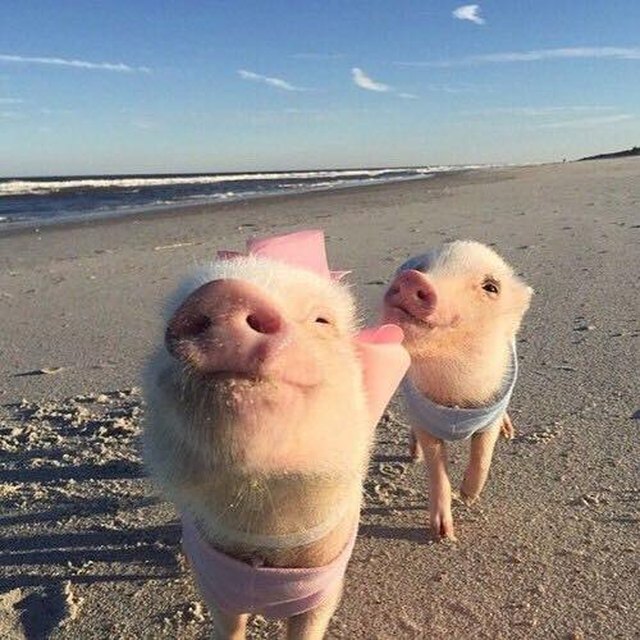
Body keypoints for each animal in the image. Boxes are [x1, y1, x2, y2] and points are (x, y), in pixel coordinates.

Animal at [382, 240, 532, 540]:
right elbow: (436, 467)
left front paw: (467, 496)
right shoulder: (423, 415)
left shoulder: (490, 410)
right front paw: (442, 534)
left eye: (491, 286)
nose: (411, 278)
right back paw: (413, 454)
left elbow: (484, 453)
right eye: (421, 267)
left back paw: (509, 432)